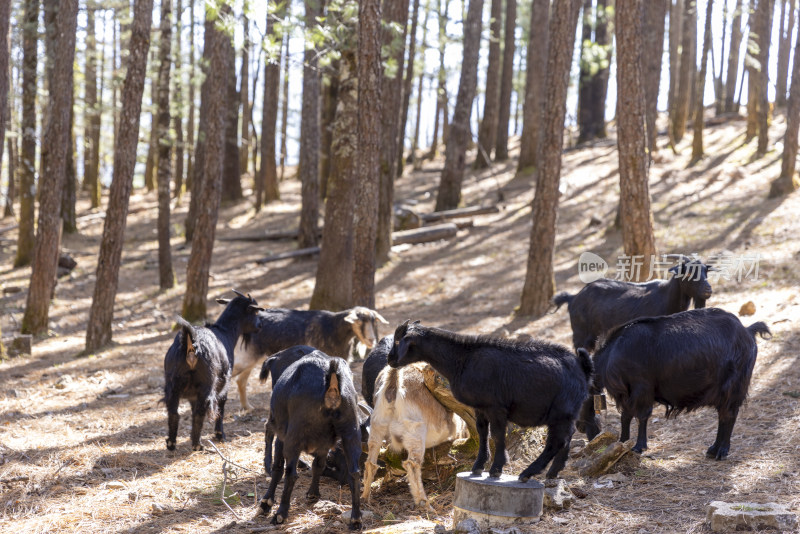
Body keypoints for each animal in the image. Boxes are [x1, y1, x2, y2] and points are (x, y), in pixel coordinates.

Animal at [162, 294, 262, 452]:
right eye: (256, 312)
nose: (260, 326)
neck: (225, 332)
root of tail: (191, 344)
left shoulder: (192, 395)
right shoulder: (224, 383)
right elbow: (220, 408)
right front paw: (220, 435)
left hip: (172, 384)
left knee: (174, 413)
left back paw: (172, 443)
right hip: (207, 383)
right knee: (201, 412)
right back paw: (197, 445)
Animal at [260, 352, 362, 532]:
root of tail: (332, 385)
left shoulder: (283, 436)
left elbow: (278, 467)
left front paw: (266, 502)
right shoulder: (324, 445)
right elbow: (318, 466)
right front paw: (313, 494)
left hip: (294, 437)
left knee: (291, 474)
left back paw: (280, 514)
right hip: (351, 432)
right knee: (354, 473)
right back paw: (355, 519)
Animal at [388, 322, 592, 482]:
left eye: (398, 341)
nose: (390, 360)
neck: (462, 359)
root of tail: (583, 368)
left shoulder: (496, 407)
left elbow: (498, 435)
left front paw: (496, 469)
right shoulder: (480, 407)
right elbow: (483, 432)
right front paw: (478, 467)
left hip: (560, 411)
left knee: (556, 441)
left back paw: (528, 473)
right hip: (569, 413)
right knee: (567, 437)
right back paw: (553, 472)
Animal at [592, 310, 768, 460]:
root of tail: (747, 331)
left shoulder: (642, 387)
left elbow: (642, 415)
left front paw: (639, 446)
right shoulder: (626, 394)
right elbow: (626, 416)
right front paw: (622, 443)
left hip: (733, 386)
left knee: (728, 415)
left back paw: (721, 451)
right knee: (723, 415)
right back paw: (713, 449)